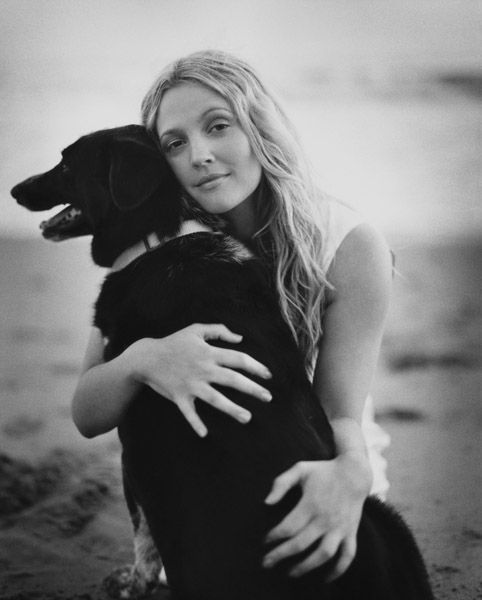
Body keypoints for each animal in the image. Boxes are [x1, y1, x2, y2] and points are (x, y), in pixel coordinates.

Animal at [11, 124, 434, 596]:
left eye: (67, 164)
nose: (14, 190)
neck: (160, 235)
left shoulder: (133, 445)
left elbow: (142, 534)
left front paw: (133, 582)